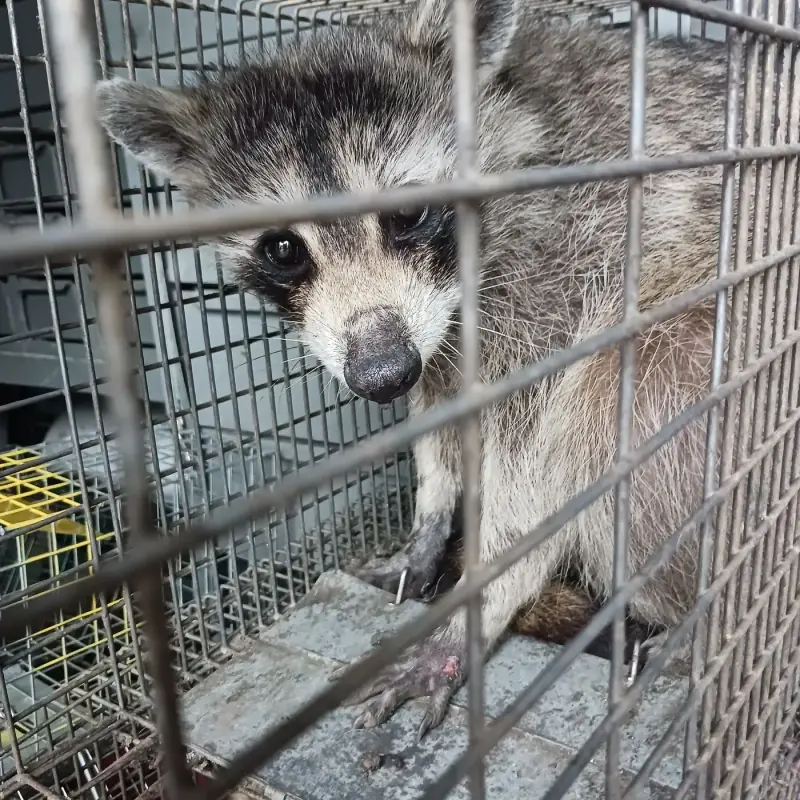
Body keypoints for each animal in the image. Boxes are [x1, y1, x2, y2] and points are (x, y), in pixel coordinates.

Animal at [96, 0, 742, 738]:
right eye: (283, 248)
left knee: (602, 408)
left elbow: (538, 463)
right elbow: (437, 411)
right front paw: (430, 520)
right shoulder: (435, 330)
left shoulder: (566, 262)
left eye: (407, 212)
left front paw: (481, 603)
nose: (382, 377)